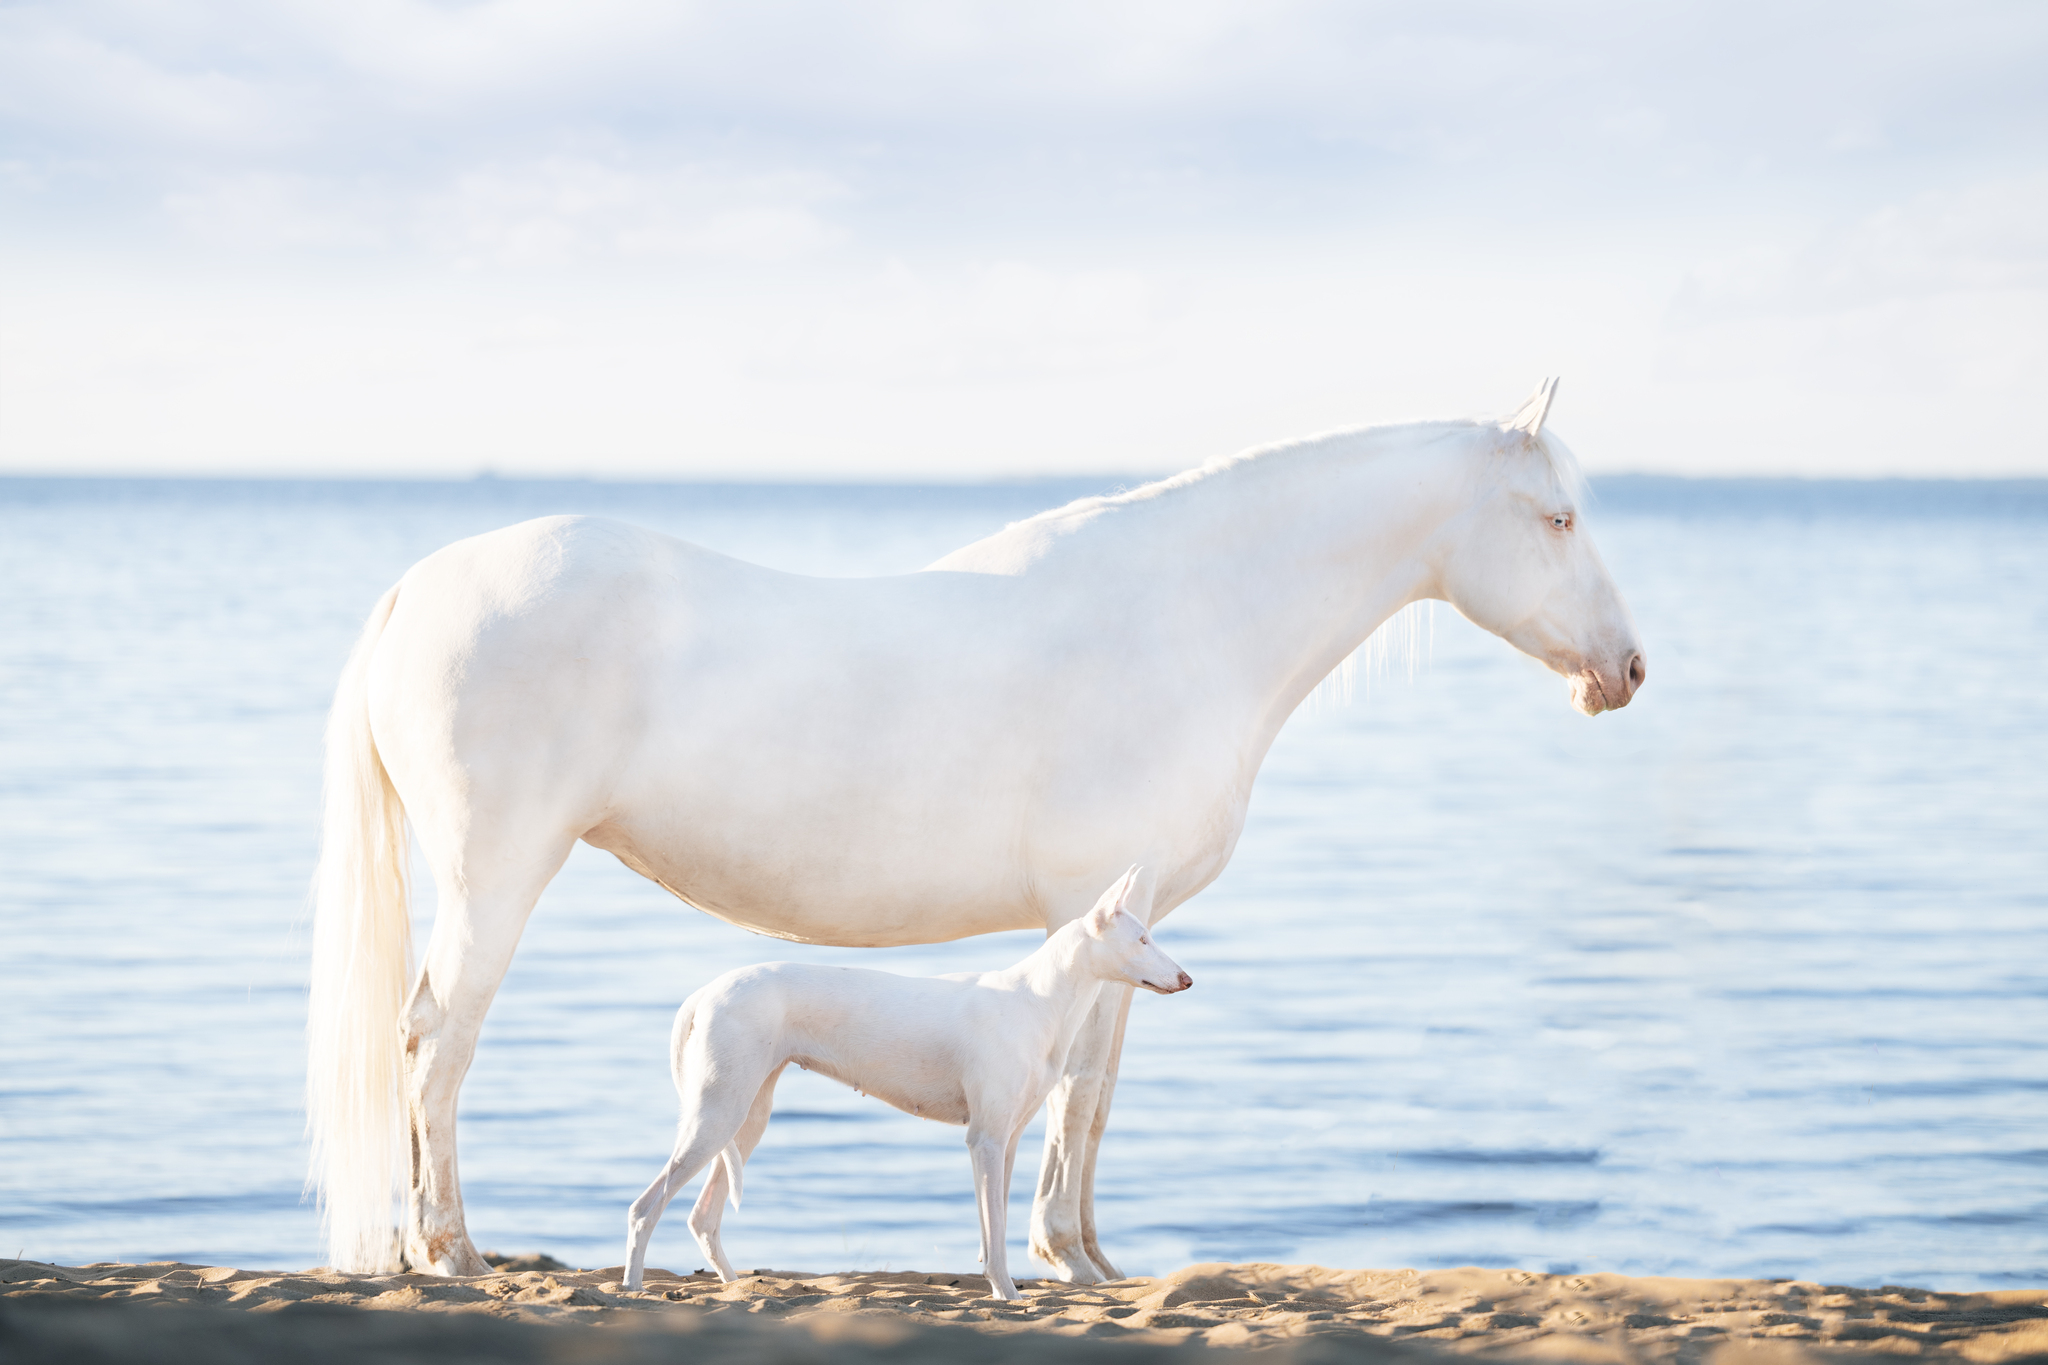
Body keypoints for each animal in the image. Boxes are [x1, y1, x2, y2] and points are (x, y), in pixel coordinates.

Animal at [630, 871, 1196, 1301]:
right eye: (1143, 939)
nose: (1187, 979)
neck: (1037, 998)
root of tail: (706, 991)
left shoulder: (1006, 1141)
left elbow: (995, 1226)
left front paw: (1001, 1290)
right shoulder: (984, 1140)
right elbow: (995, 1231)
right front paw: (1007, 1293)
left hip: (745, 1117)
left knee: (703, 1218)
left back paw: (738, 1289)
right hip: (717, 1114)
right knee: (644, 1209)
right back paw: (633, 1289)